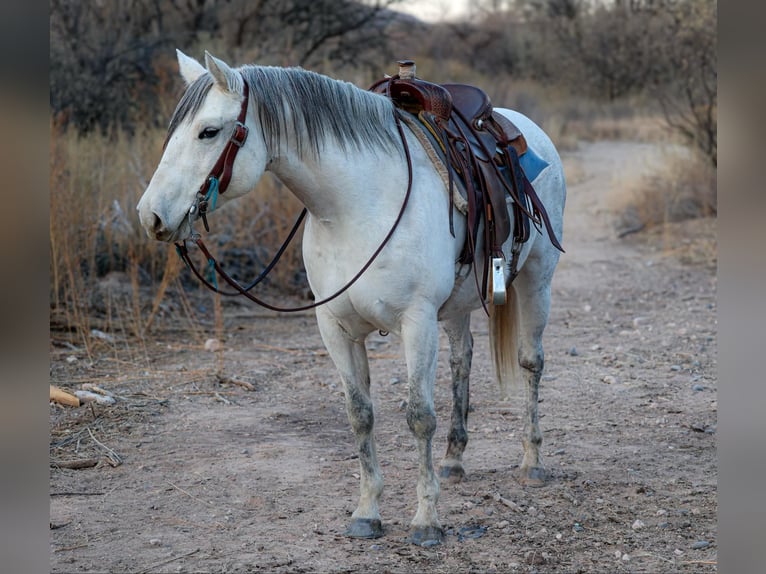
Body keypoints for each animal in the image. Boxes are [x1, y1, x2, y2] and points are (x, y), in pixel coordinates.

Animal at [136, 51, 568, 552]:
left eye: (208, 131)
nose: (150, 215)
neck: (354, 207)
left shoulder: (417, 322)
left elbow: (419, 416)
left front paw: (426, 520)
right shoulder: (335, 328)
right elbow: (360, 415)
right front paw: (367, 513)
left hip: (536, 281)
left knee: (531, 362)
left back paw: (532, 462)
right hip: (458, 306)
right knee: (462, 361)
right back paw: (454, 460)